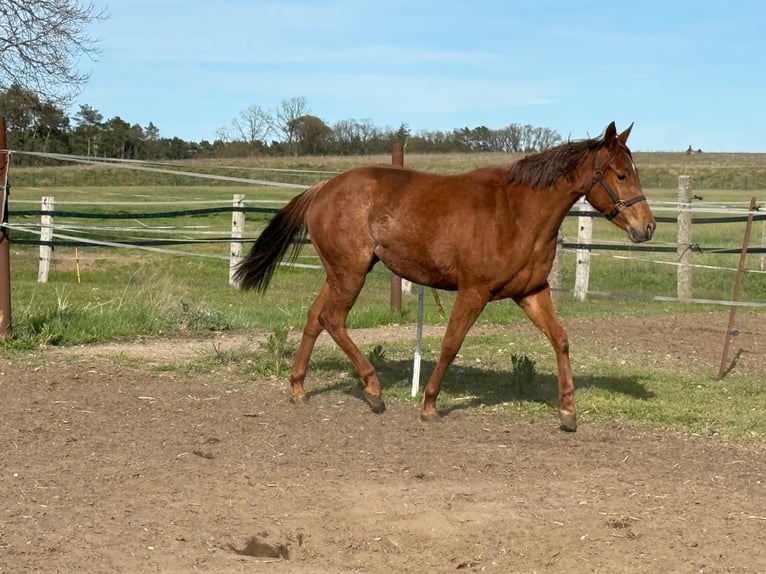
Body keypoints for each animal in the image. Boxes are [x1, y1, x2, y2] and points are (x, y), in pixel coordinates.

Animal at [234, 122, 655, 432]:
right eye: (621, 175)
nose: (647, 227)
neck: (517, 213)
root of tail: (323, 188)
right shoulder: (473, 292)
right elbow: (451, 344)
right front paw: (430, 404)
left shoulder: (532, 292)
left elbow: (561, 340)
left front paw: (568, 412)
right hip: (350, 273)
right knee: (332, 318)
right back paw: (373, 389)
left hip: (341, 273)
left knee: (314, 317)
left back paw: (299, 388)